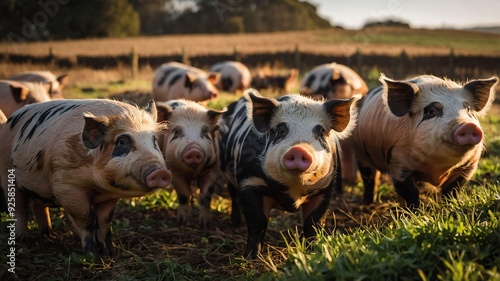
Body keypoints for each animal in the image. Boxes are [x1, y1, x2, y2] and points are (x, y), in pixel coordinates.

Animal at [0, 98, 172, 254]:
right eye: (122, 142)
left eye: (154, 140)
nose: (160, 171)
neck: (97, 187)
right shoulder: (67, 187)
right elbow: (88, 220)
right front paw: (92, 256)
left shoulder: (110, 197)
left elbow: (104, 221)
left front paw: (110, 252)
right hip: (7, 174)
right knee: (19, 209)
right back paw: (22, 241)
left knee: (38, 206)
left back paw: (49, 234)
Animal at [156, 99, 223, 229]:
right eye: (176, 131)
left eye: (205, 131)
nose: (194, 150)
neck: (193, 172)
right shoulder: (174, 170)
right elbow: (184, 194)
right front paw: (182, 222)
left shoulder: (213, 169)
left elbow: (205, 196)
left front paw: (205, 225)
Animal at [220, 88, 360, 258]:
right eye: (281, 130)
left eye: (321, 132)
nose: (299, 149)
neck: (294, 191)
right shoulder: (249, 182)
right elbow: (258, 221)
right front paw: (251, 258)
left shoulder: (325, 188)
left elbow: (313, 222)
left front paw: (314, 252)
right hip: (227, 173)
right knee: (233, 196)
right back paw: (235, 222)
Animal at [350, 74, 498, 208]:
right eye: (431, 110)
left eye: (468, 109)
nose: (467, 125)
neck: (437, 167)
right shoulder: (397, 162)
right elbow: (410, 192)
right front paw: (413, 213)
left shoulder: (468, 167)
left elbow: (452, 191)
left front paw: (451, 208)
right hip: (361, 155)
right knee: (369, 178)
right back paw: (368, 203)